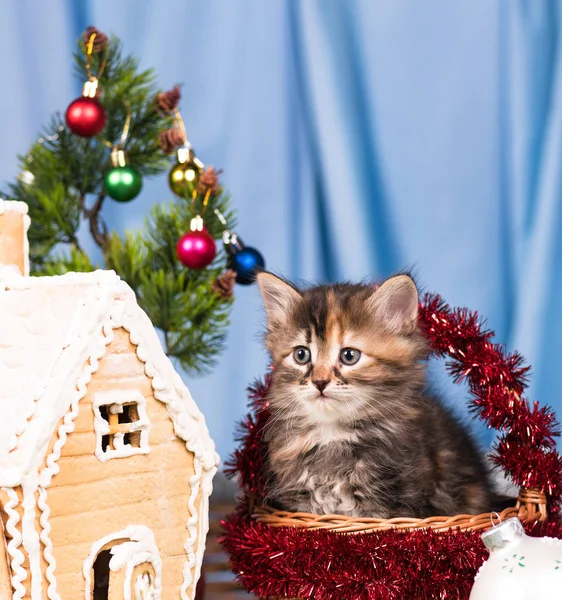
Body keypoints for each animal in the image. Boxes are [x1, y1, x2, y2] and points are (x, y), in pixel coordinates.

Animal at [256, 274, 492, 516]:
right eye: (301, 355)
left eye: (349, 356)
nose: (319, 382)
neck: (333, 434)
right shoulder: (301, 505)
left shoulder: (394, 508)